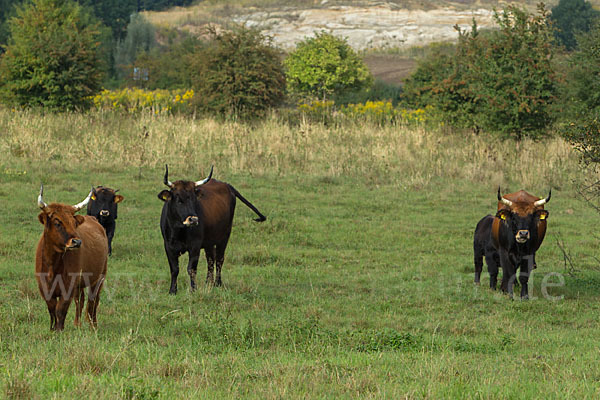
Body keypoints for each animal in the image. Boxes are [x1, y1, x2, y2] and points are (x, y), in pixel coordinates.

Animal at [35, 184, 108, 332]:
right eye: (57, 222)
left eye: (74, 223)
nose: (77, 242)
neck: (53, 264)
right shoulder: (45, 288)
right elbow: (52, 310)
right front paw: (52, 329)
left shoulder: (68, 286)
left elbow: (60, 310)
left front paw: (59, 330)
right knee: (80, 300)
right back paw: (77, 324)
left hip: (99, 277)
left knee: (93, 301)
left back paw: (93, 325)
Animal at [158, 164, 266, 292]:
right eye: (179, 200)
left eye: (194, 199)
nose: (193, 220)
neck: (179, 231)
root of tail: (226, 185)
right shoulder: (168, 246)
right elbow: (174, 269)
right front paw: (172, 291)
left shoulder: (195, 246)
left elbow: (191, 269)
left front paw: (193, 290)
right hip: (209, 241)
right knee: (210, 260)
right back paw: (208, 283)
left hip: (224, 236)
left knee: (219, 259)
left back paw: (217, 283)